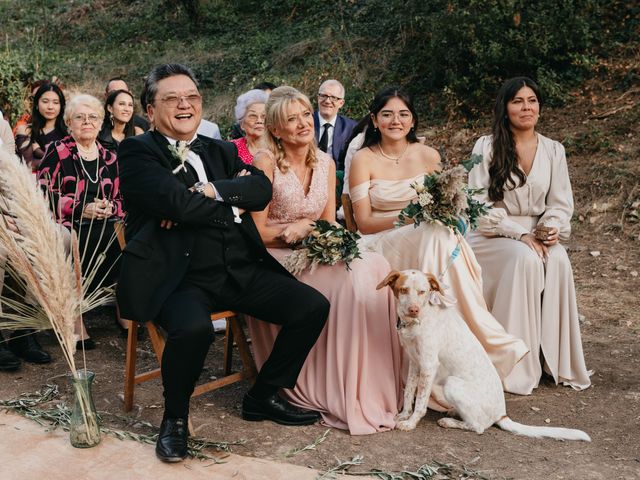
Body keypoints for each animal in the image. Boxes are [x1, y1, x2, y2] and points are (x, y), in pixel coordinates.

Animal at [378, 268, 592, 440]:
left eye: (423, 292)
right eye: (403, 290)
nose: (413, 309)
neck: (416, 323)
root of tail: (502, 413)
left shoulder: (429, 366)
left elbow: (421, 401)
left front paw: (411, 423)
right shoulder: (415, 363)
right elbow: (409, 393)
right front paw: (404, 415)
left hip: (452, 384)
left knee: (478, 427)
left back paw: (451, 422)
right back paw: (454, 412)